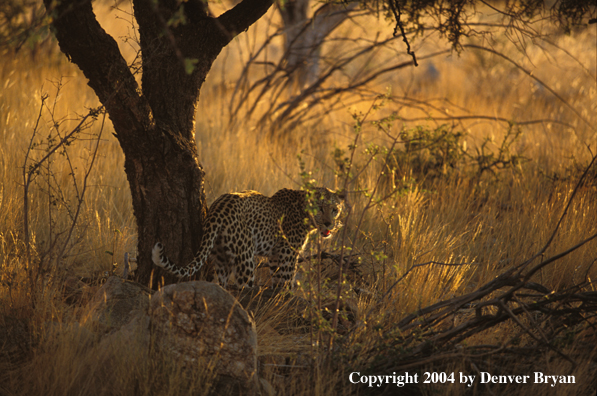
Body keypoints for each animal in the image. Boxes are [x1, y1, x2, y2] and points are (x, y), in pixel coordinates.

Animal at [151, 187, 344, 286]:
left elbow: (277, 281)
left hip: (221, 258)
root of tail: (217, 209)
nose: (329, 224)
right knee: (243, 288)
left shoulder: (275, 256)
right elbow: (286, 282)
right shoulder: (288, 254)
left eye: (335, 210)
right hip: (246, 259)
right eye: (321, 208)